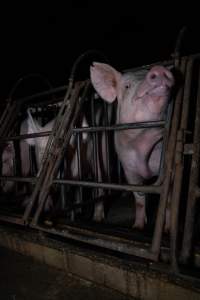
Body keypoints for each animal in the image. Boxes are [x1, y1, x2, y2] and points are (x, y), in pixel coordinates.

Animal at [90, 61, 174, 230]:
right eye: (127, 86)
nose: (159, 69)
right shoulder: (128, 167)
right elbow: (139, 199)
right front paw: (137, 227)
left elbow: (168, 199)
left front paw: (168, 230)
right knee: (100, 188)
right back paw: (97, 220)